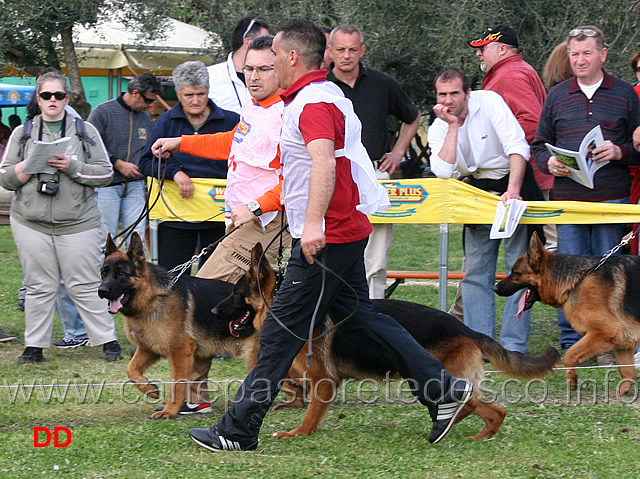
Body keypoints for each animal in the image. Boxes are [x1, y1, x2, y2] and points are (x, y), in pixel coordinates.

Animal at [99, 234, 256, 418]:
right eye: (104, 273)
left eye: (121, 274)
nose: (101, 291)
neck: (153, 297)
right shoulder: (148, 348)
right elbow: (131, 370)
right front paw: (150, 390)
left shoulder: (180, 351)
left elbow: (177, 383)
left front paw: (169, 411)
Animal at [215, 246, 560, 440]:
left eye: (235, 292)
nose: (214, 311)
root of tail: (467, 329)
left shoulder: (324, 381)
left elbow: (310, 413)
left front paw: (296, 433)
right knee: (494, 410)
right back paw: (474, 435)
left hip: (429, 379)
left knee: (472, 404)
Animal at [496, 231, 640, 396]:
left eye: (515, 273)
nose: (495, 288)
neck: (578, 281)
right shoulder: (622, 342)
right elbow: (627, 373)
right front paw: (620, 393)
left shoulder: (604, 331)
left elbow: (570, 354)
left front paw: (572, 381)